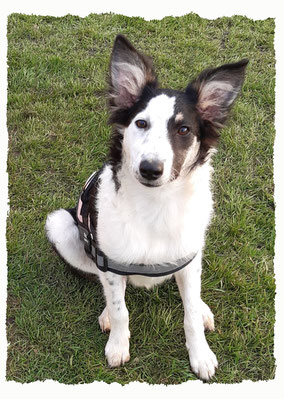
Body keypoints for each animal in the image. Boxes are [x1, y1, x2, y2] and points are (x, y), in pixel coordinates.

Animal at [45, 36, 248, 382]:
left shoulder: (189, 255)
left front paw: (200, 354)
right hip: (61, 224)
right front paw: (118, 344)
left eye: (184, 130)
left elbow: (189, 312)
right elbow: (119, 307)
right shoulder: (109, 261)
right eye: (141, 123)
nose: (150, 169)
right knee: (100, 279)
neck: (157, 204)